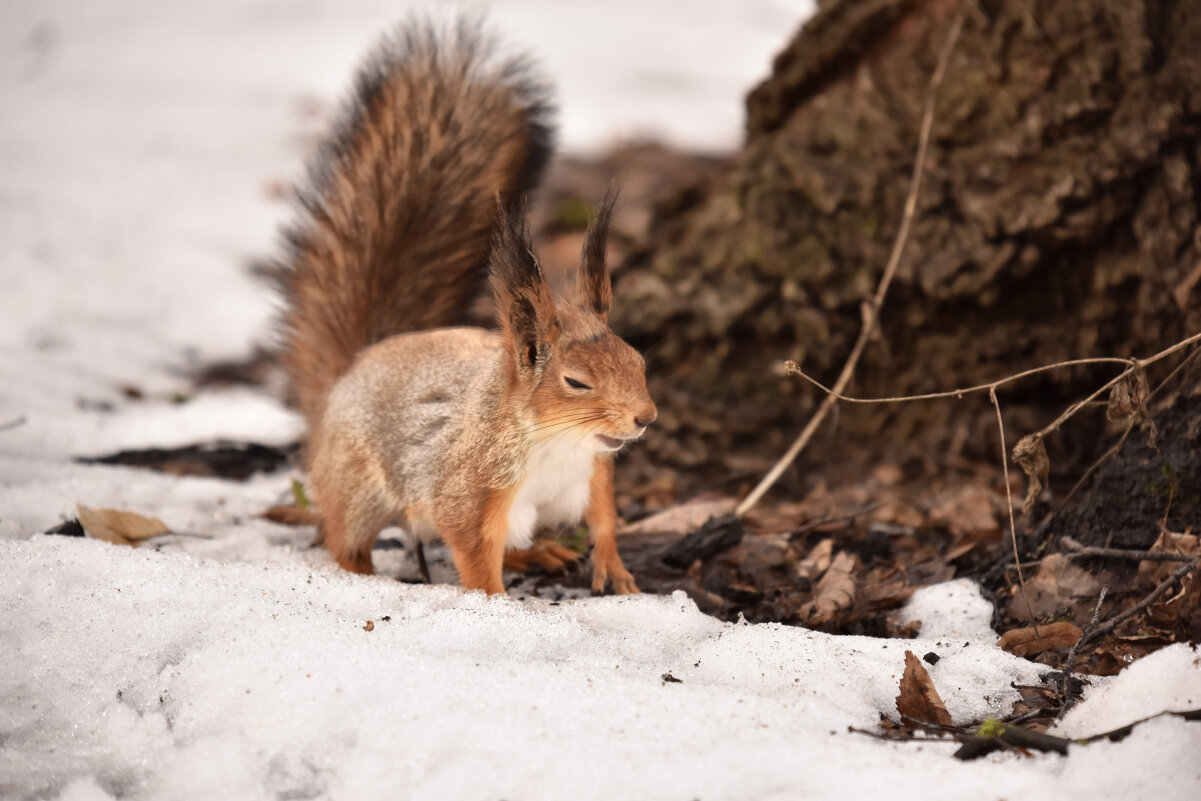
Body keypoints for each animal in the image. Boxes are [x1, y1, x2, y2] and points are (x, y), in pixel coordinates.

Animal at [273, 20, 658, 595]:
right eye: (576, 382)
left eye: (639, 362)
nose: (645, 418)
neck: (556, 442)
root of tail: (351, 370)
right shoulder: (472, 488)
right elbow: (473, 554)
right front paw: (492, 606)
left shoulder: (591, 469)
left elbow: (605, 516)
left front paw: (614, 567)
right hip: (356, 484)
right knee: (344, 539)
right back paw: (363, 577)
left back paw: (539, 553)